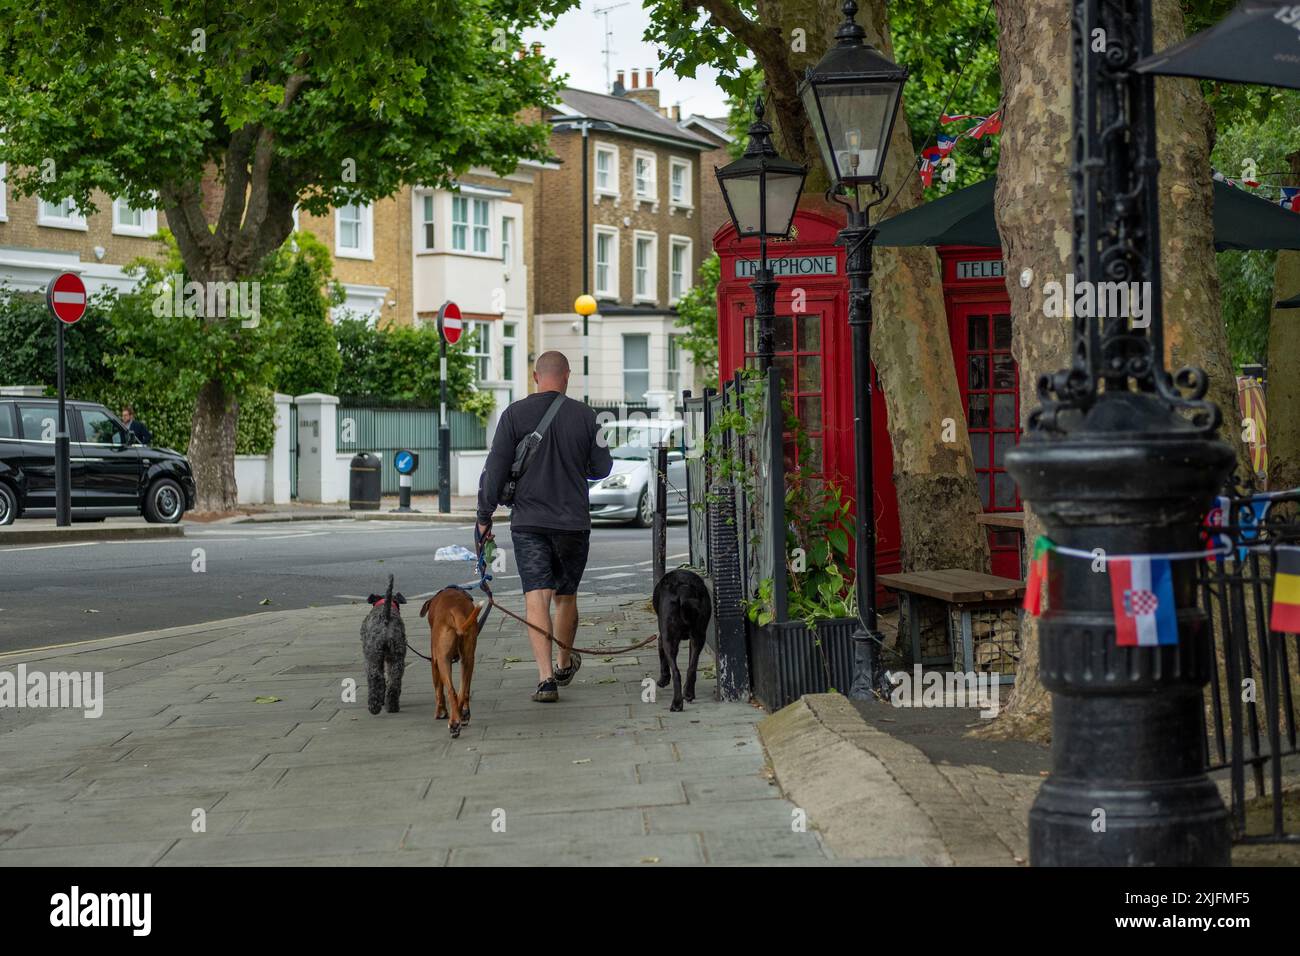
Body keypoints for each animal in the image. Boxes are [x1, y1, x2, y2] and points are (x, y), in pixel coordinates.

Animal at [358, 574, 408, 712]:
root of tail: (386, 618)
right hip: (396, 657)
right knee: (394, 679)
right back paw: (392, 705)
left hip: (373, 657)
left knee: (376, 677)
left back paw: (374, 706)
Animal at [416, 582, 483, 738]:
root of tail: (455, 609)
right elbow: (465, 689)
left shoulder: (434, 661)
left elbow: (438, 690)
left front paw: (440, 712)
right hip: (468, 657)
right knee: (463, 691)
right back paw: (460, 716)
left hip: (443, 660)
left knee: (451, 691)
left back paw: (453, 723)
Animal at [650, 567, 712, 712]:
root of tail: (683, 590)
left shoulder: (662, 636)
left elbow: (662, 657)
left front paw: (663, 680)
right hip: (699, 635)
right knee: (691, 668)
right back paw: (688, 694)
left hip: (669, 638)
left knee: (676, 672)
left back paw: (677, 703)